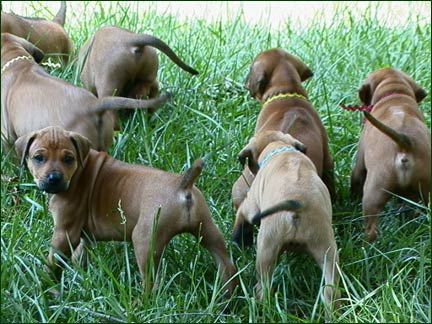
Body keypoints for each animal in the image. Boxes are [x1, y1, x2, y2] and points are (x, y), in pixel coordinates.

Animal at [14, 126, 236, 296]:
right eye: (38, 158)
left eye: (68, 158)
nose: (54, 178)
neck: (79, 171)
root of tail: (182, 185)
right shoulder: (82, 234)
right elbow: (80, 252)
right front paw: (78, 274)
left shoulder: (64, 232)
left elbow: (52, 261)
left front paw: (43, 285)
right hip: (208, 230)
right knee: (226, 265)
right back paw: (226, 298)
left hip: (144, 239)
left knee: (150, 284)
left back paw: (140, 302)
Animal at [231, 130, 340, 320]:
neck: (281, 150)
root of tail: (298, 207)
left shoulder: (251, 204)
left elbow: (241, 216)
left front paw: (238, 240)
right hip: (327, 251)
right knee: (330, 291)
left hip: (266, 249)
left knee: (263, 289)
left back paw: (260, 309)